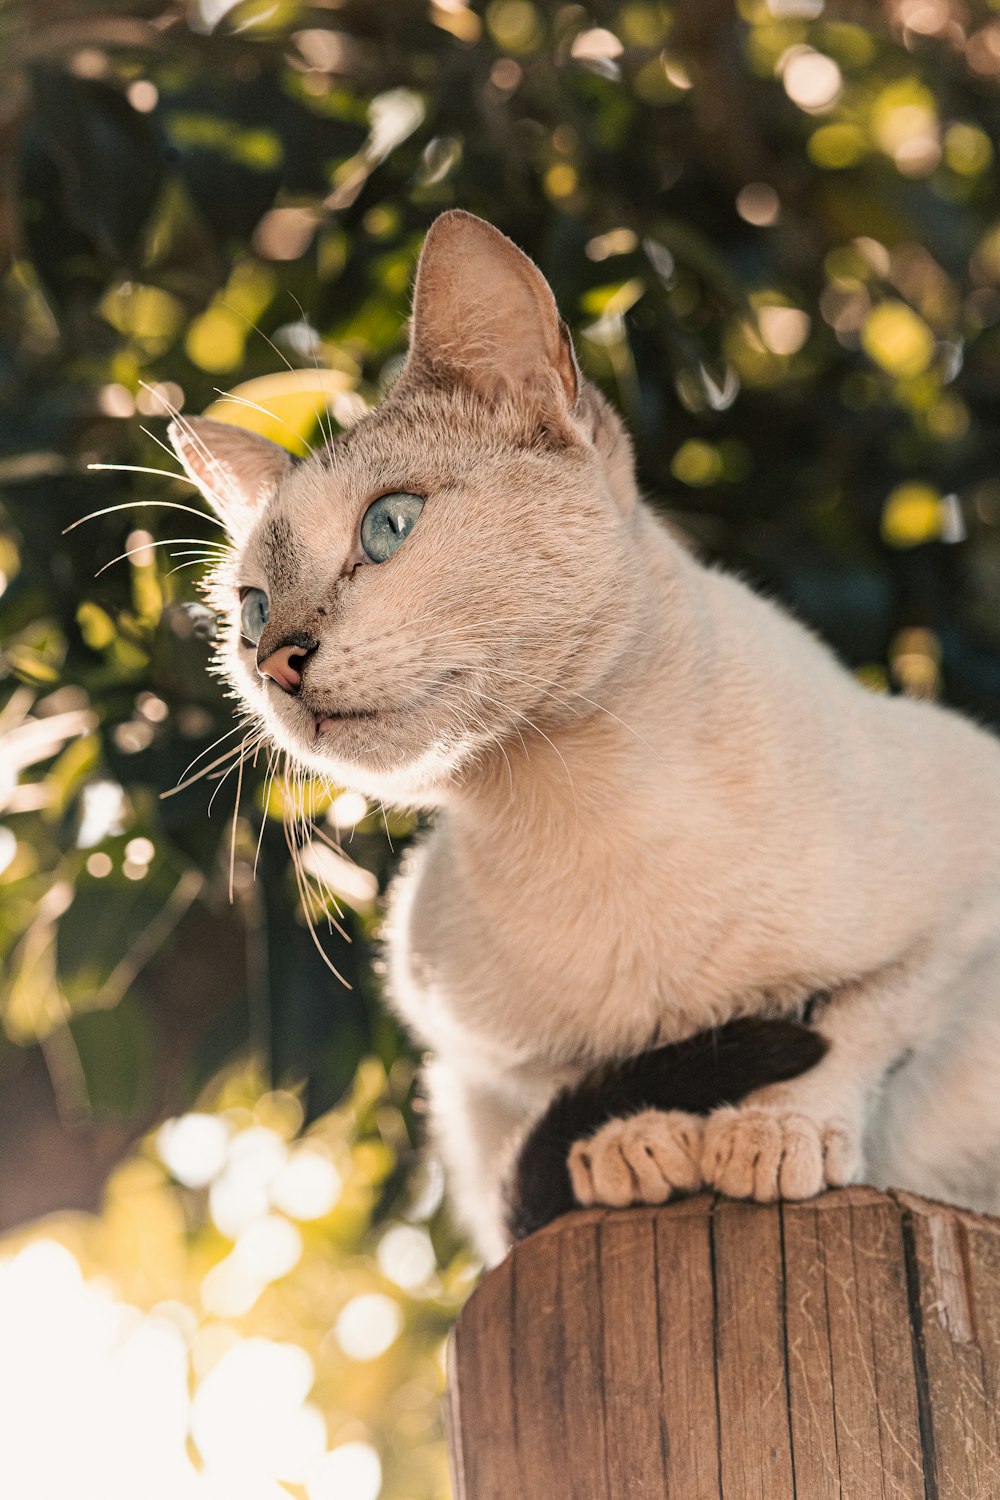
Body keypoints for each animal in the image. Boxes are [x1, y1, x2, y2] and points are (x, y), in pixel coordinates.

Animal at [167, 211, 1000, 1266]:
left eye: (389, 526)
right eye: (249, 611)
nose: (277, 661)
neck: (579, 807)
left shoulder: (965, 911)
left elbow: (857, 1024)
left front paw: (775, 1131)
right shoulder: (469, 1050)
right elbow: (576, 1083)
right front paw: (632, 1146)